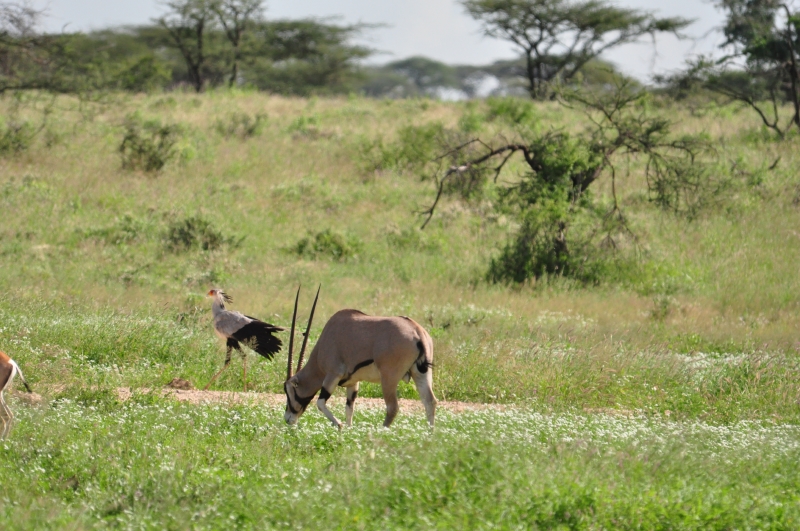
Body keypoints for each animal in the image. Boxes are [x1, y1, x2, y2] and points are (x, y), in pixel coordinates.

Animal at [283, 286, 437, 429]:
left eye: (289, 390)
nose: (288, 419)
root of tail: (417, 331)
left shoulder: (333, 374)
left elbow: (320, 402)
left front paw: (339, 425)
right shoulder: (353, 382)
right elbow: (349, 409)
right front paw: (349, 429)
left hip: (389, 378)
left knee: (392, 407)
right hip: (421, 374)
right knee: (430, 401)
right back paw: (430, 434)